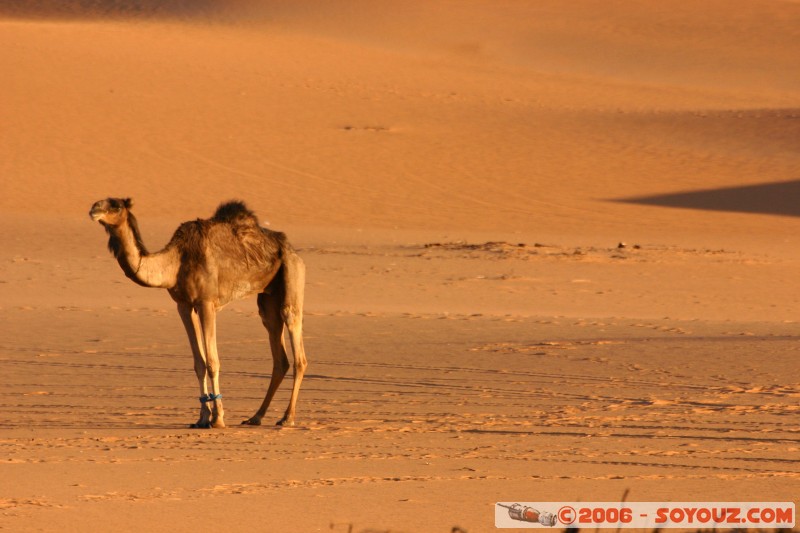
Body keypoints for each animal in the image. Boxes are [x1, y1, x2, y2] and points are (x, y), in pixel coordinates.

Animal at [90, 197, 310, 426]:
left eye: (115, 205)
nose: (93, 210)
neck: (176, 262)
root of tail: (290, 248)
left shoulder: (206, 302)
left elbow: (213, 362)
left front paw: (218, 419)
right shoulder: (184, 305)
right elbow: (199, 363)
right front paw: (202, 418)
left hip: (292, 272)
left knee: (295, 339)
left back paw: (287, 418)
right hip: (268, 298)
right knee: (278, 350)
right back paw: (255, 417)